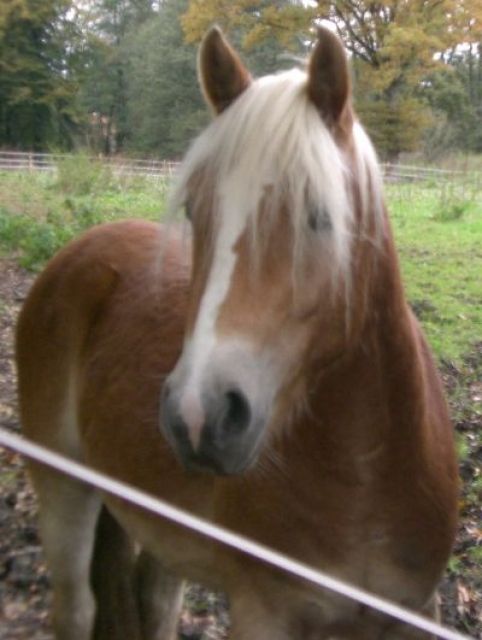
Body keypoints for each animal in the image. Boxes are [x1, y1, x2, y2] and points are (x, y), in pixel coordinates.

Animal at [16, 26, 458, 640]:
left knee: (154, 600)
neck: (368, 475)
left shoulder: (414, 614)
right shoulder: (263, 612)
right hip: (61, 483)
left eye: (320, 216)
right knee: (76, 609)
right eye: (195, 212)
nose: (198, 416)